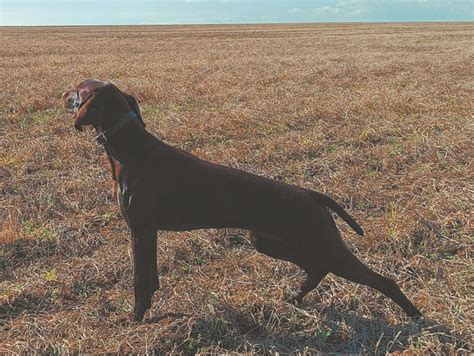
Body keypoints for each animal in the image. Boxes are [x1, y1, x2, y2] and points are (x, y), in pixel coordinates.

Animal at [61, 79, 420, 322]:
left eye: (78, 88)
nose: (61, 95)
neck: (132, 149)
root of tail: (310, 194)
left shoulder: (140, 229)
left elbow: (139, 280)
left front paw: (135, 319)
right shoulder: (148, 233)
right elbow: (150, 278)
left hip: (322, 245)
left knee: (382, 280)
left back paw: (416, 317)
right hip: (269, 241)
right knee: (317, 269)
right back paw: (294, 297)